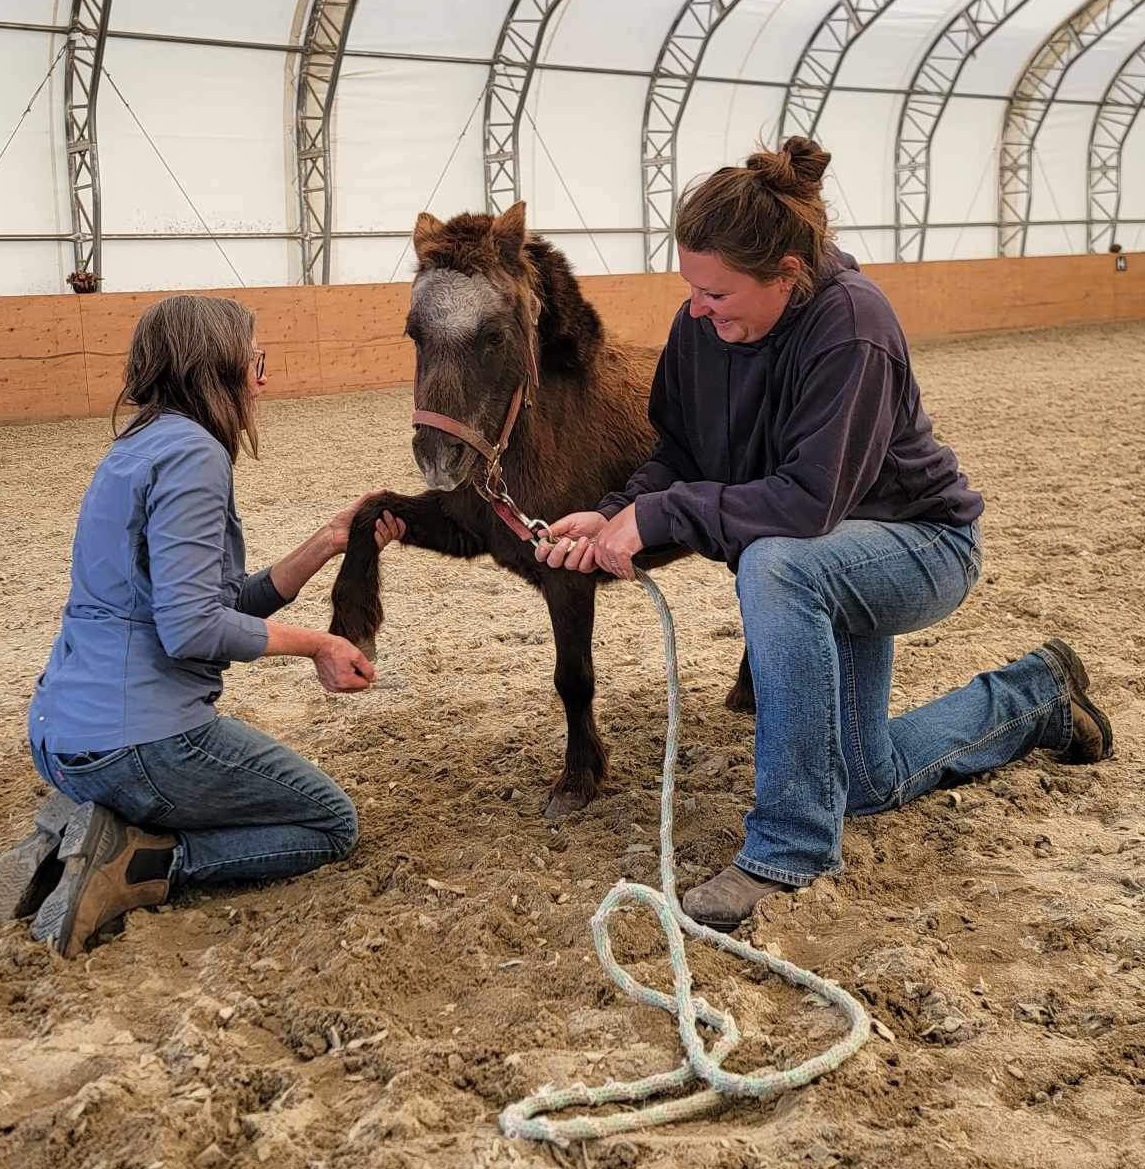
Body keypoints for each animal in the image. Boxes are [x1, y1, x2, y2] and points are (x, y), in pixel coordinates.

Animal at [332, 201, 753, 818]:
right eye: (414, 334)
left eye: (493, 335)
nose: (439, 459)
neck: (535, 428)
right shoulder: (466, 528)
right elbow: (369, 510)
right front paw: (352, 623)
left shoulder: (568, 574)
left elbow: (572, 678)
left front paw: (578, 778)